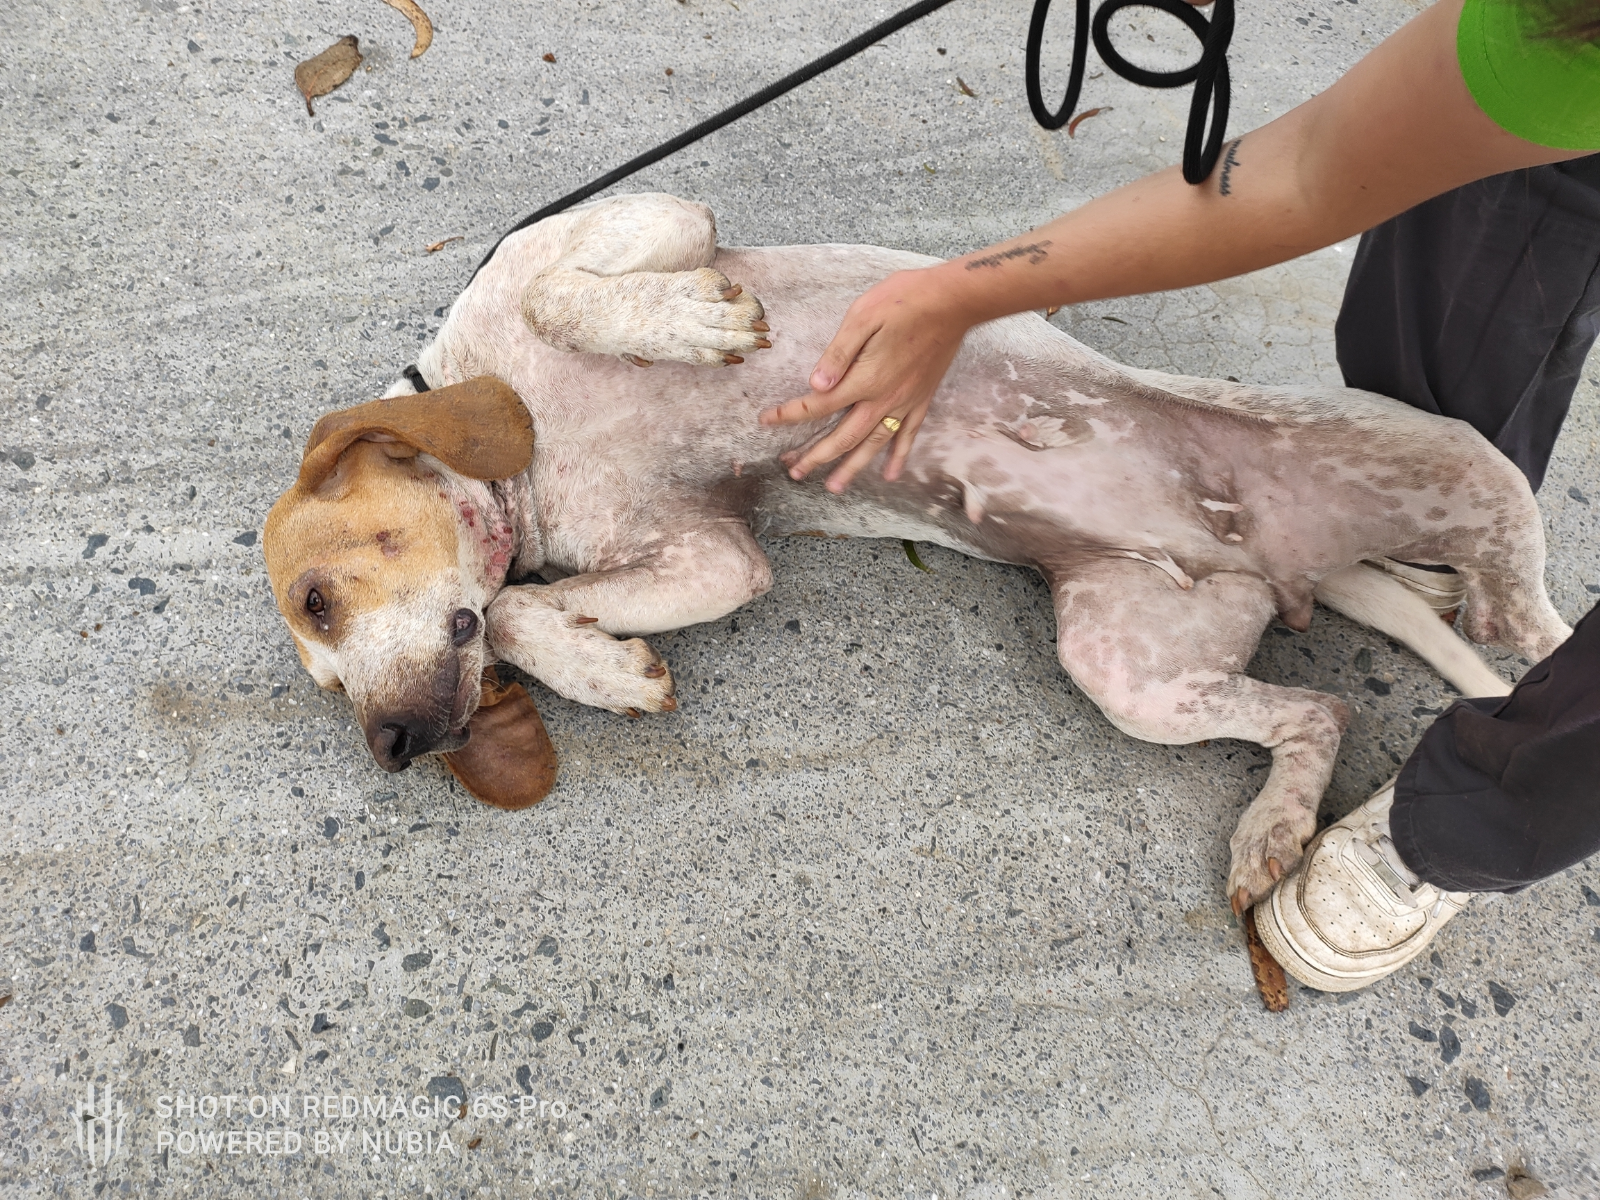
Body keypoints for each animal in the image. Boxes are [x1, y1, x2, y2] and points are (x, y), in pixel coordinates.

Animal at [263, 191, 1571, 911]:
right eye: (323, 677)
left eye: (319, 598)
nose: (390, 746)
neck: (518, 444)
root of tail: (1285, 564)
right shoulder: (709, 556)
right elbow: (526, 610)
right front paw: (608, 668)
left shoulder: (654, 222)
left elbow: (566, 296)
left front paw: (681, 322)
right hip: (1128, 667)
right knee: (1317, 714)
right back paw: (1273, 829)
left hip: (1431, 452)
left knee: (1527, 602)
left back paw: (1500, 613)